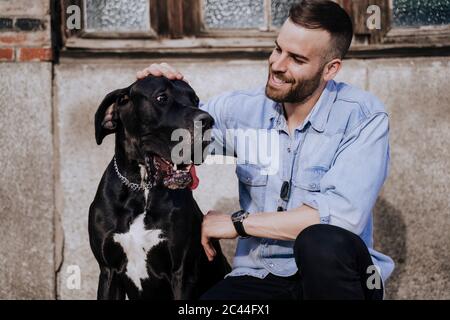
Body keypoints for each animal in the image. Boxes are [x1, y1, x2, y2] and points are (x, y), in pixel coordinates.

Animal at [89, 77, 229, 300]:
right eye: (162, 98)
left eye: (195, 100)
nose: (207, 121)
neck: (142, 190)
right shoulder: (108, 271)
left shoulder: (182, 273)